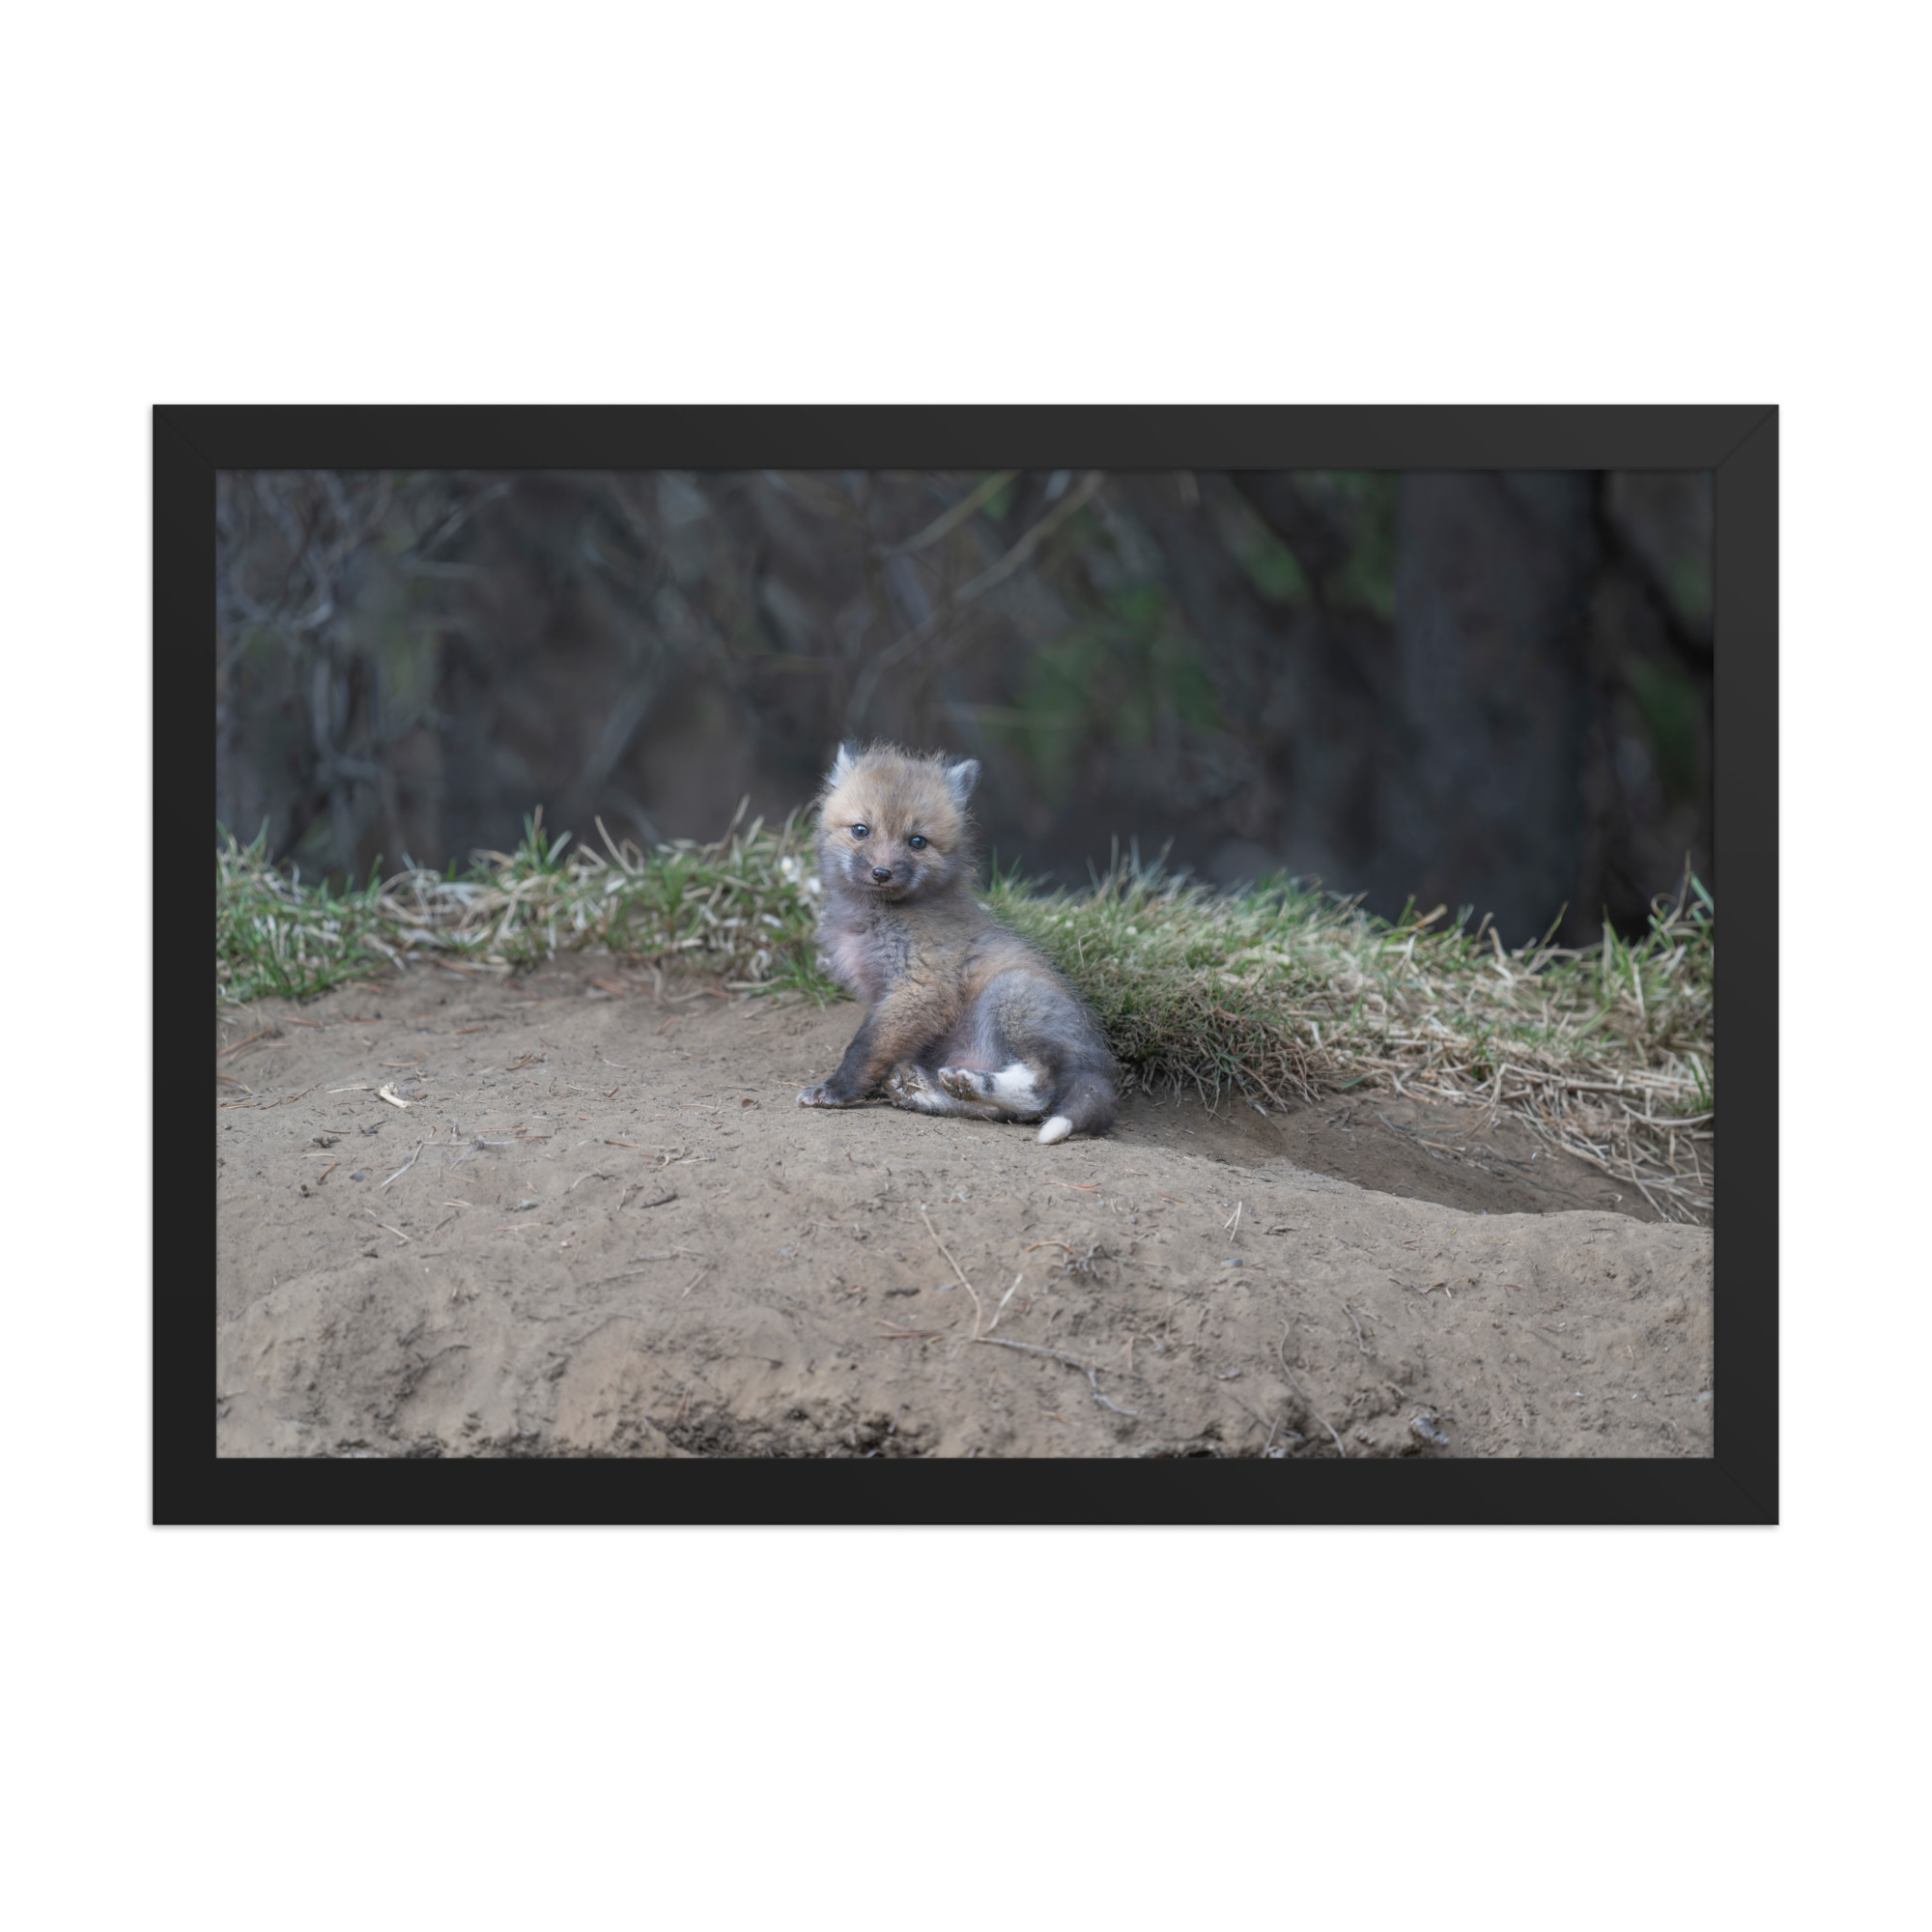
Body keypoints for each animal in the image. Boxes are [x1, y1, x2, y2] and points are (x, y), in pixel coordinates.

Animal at [796, 742, 1117, 1144]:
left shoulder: (922, 987)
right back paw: (926, 1090)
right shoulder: (886, 996)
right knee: (1001, 1112)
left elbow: (864, 1047)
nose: (881, 873)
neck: (877, 918)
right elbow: (879, 1047)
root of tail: (1100, 1066)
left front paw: (836, 1090)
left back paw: (967, 1082)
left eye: (917, 841)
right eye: (861, 830)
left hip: (1009, 996)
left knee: (1039, 1091)